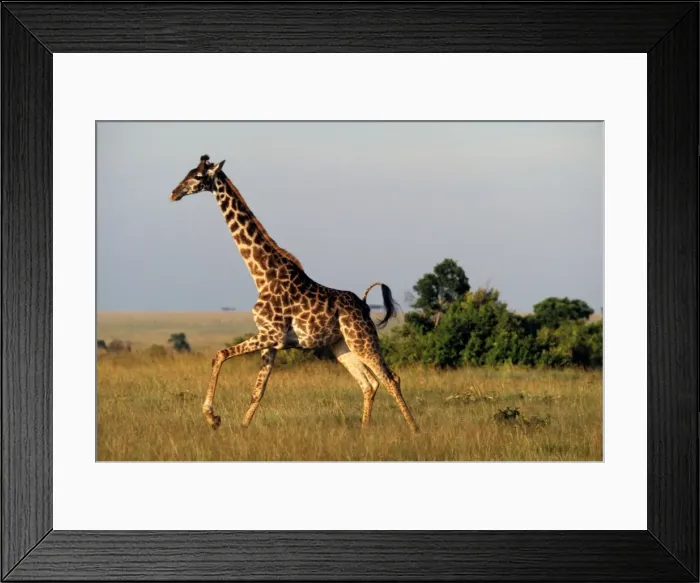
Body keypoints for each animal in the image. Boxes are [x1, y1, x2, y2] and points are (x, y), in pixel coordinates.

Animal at [169, 155, 419, 434]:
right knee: (369, 383)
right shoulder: (270, 339)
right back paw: (364, 430)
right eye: (188, 171)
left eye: (198, 176)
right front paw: (242, 427)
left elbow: (219, 355)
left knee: (391, 378)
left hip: (361, 339)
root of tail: (364, 304)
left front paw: (212, 417)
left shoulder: (271, 334)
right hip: (342, 345)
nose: (174, 193)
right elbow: (257, 390)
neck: (262, 276)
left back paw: (415, 430)